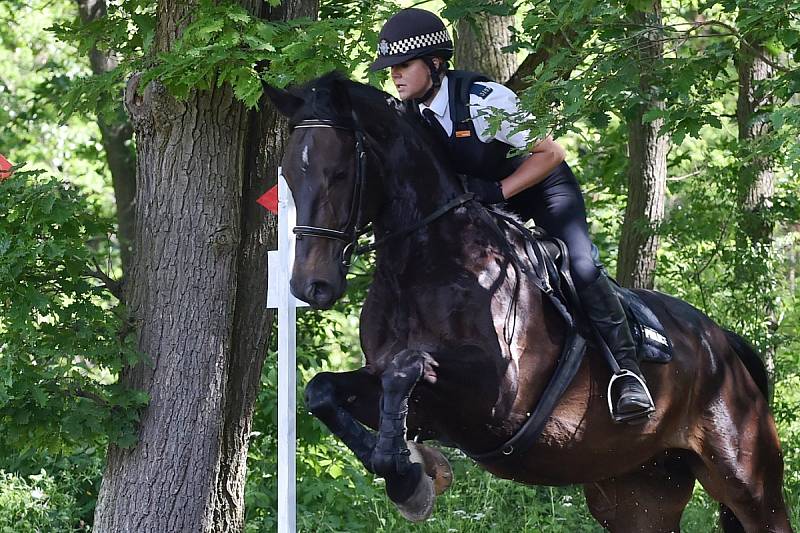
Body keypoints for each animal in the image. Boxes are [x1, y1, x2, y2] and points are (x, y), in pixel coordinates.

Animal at [264, 71, 792, 532]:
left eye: (338, 173)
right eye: (287, 174)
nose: (311, 286)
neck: (424, 260)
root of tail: (722, 344)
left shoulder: (494, 396)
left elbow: (406, 367)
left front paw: (411, 475)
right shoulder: (427, 404)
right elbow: (324, 391)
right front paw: (411, 472)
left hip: (747, 480)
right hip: (638, 489)